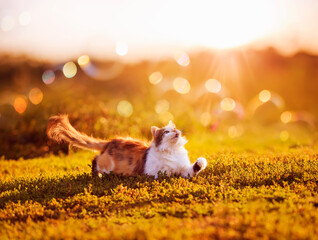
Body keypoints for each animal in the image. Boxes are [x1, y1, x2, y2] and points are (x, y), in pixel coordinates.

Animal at [46, 114, 207, 178]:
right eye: (166, 132)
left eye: (175, 129)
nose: (176, 132)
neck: (173, 151)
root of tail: (110, 141)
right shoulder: (152, 172)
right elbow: (166, 173)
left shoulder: (185, 169)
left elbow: (194, 167)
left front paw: (201, 162)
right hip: (107, 164)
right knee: (95, 159)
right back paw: (97, 174)